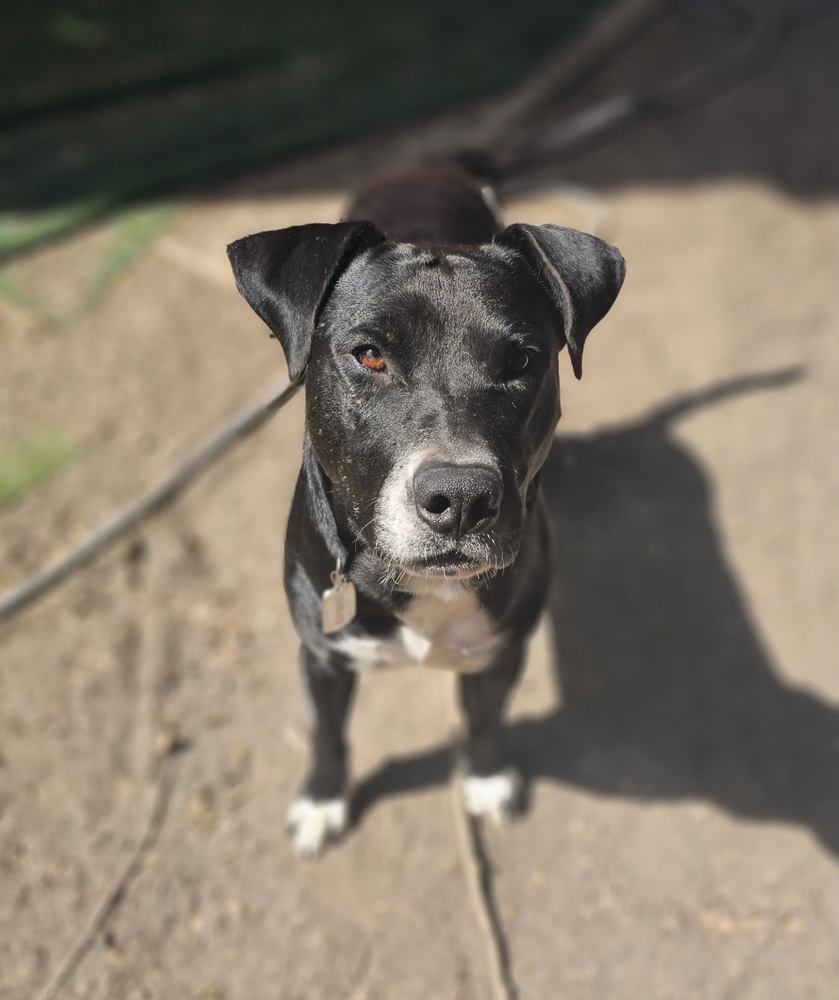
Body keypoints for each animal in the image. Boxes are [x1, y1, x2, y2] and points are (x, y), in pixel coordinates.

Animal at [228, 166, 624, 860]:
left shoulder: (500, 652)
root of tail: (428, 164)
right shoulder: (322, 657)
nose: (462, 498)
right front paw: (322, 800)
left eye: (522, 361)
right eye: (370, 355)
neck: (414, 584)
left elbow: (486, 722)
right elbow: (326, 734)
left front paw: (487, 781)